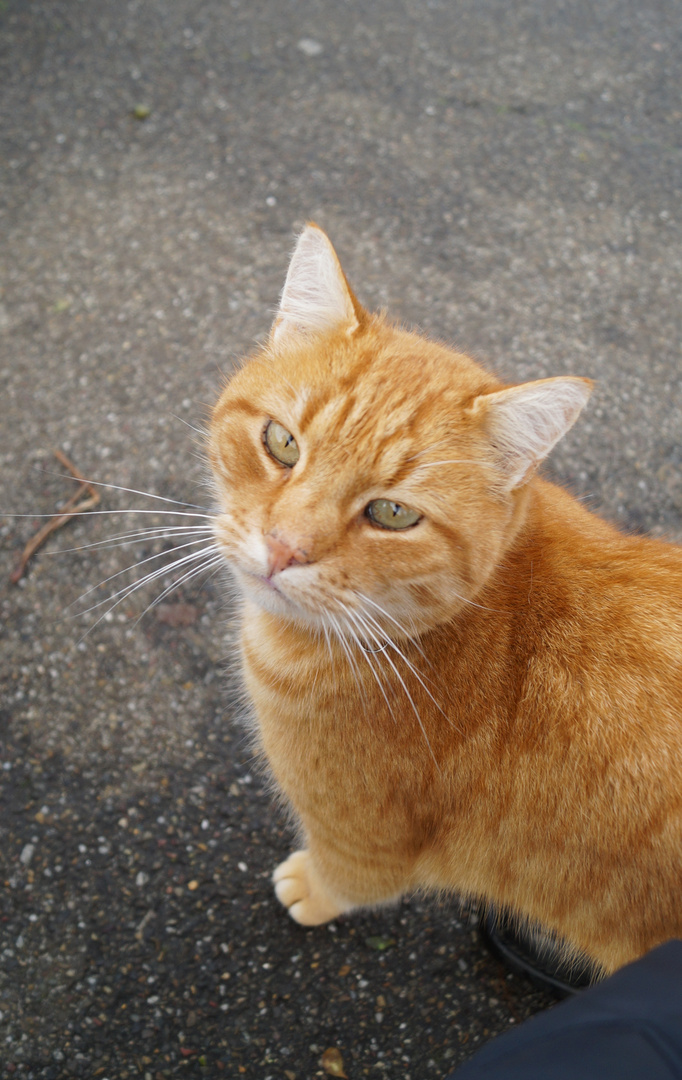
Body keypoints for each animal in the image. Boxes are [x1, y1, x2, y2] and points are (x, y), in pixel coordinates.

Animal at [208, 223, 682, 976]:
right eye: (281, 443)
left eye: (393, 514)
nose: (283, 549)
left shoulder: (364, 841)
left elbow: (344, 880)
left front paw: (308, 889)